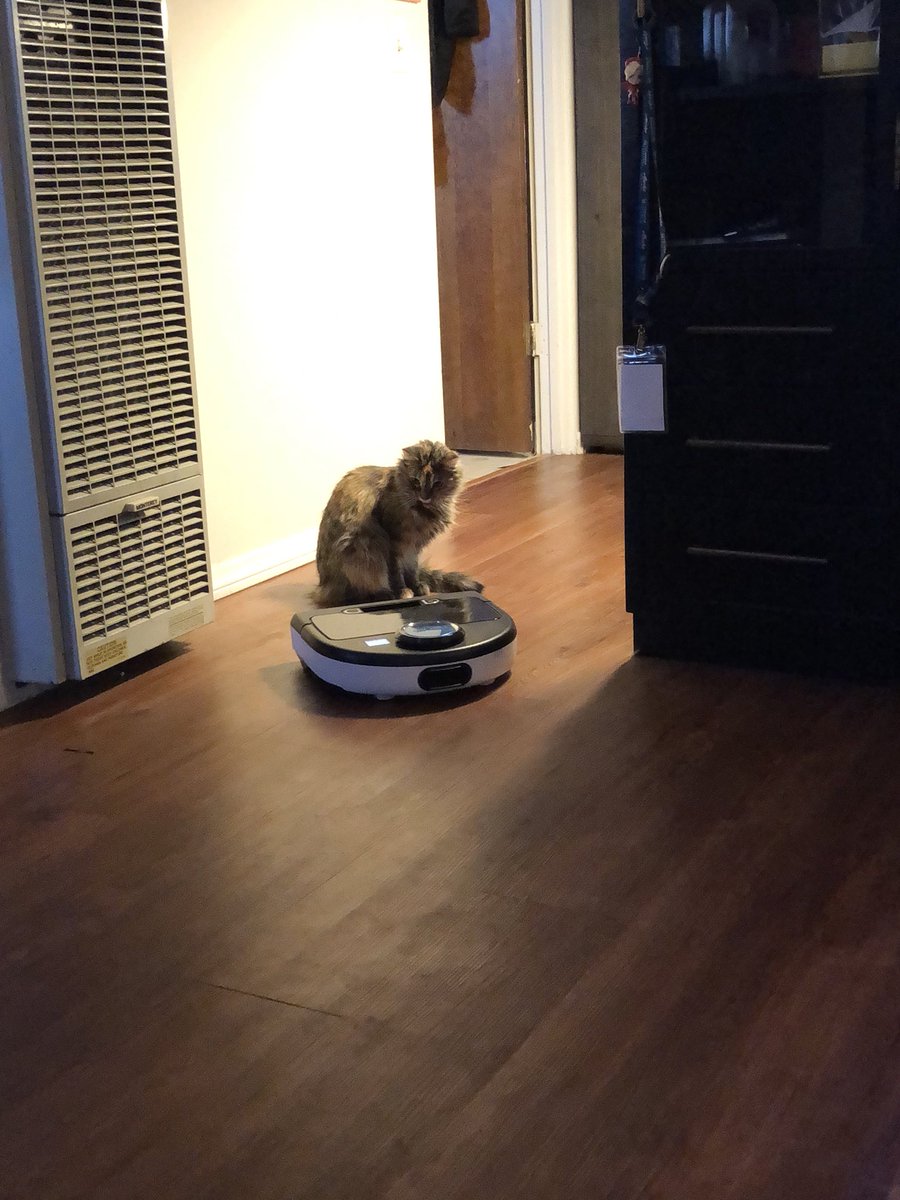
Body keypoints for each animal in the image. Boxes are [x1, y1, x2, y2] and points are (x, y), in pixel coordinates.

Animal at [314, 440, 483, 607]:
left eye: (437, 484)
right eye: (416, 481)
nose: (424, 497)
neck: (424, 510)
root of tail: (323, 585)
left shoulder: (413, 548)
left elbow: (411, 570)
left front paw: (417, 587)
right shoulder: (393, 543)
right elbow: (395, 573)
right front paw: (403, 591)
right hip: (360, 551)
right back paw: (382, 595)